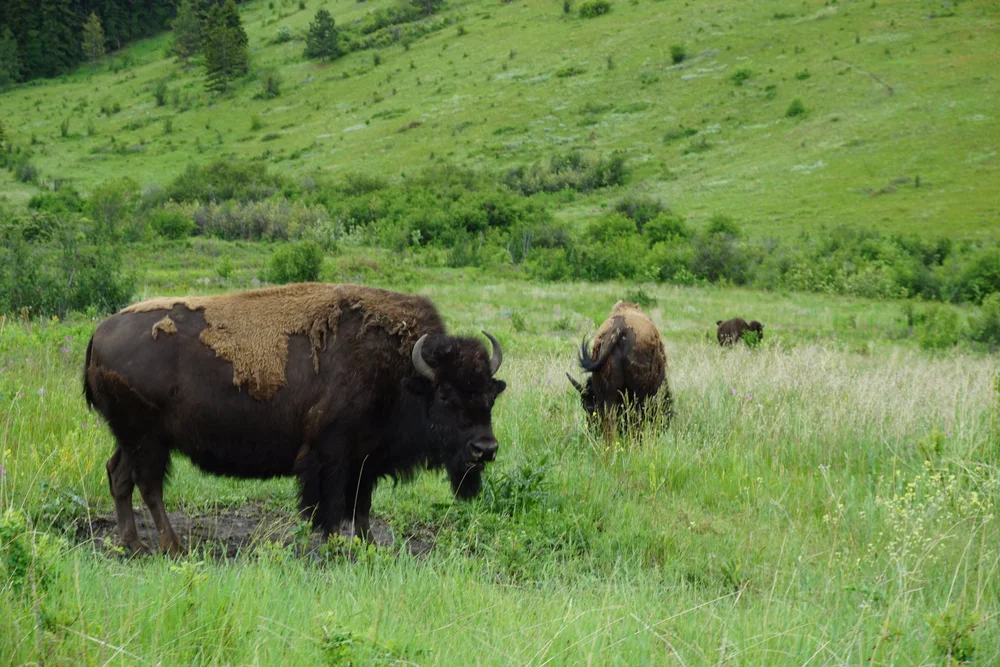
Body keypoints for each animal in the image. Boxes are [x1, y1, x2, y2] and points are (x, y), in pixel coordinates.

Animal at [84, 283, 506, 554]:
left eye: (490, 395)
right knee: (148, 485)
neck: (402, 373)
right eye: (446, 395)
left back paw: (133, 544)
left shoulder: (366, 459)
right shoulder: (333, 454)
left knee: (118, 475)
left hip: (130, 438)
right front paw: (335, 546)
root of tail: (98, 333)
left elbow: (363, 505)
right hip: (147, 439)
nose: (485, 448)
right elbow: (332, 505)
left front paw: (368, 546)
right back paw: (172, 547)